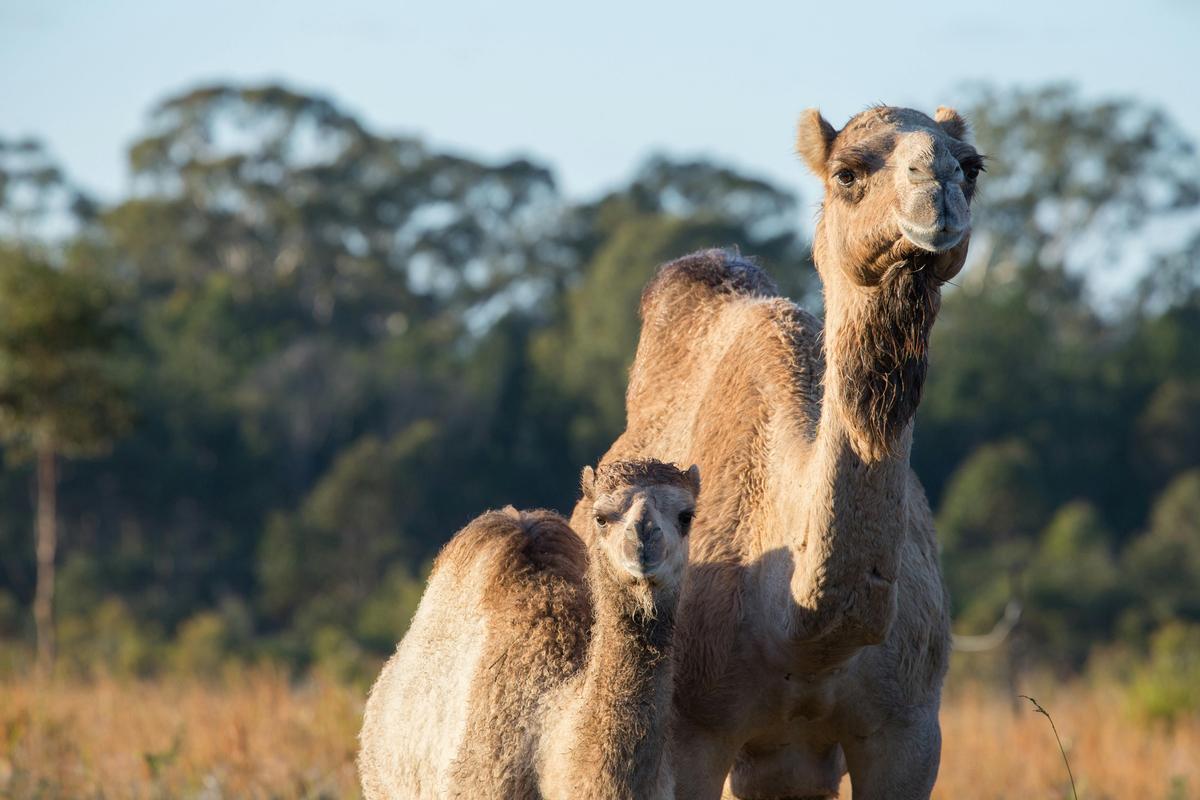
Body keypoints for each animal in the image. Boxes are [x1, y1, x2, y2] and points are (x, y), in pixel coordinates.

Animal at [569, 105, 984, 799]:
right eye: (847, 173)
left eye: (972, 168)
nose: (939, 186)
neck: (805, 635)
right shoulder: (694, 731)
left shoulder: (910, 732)